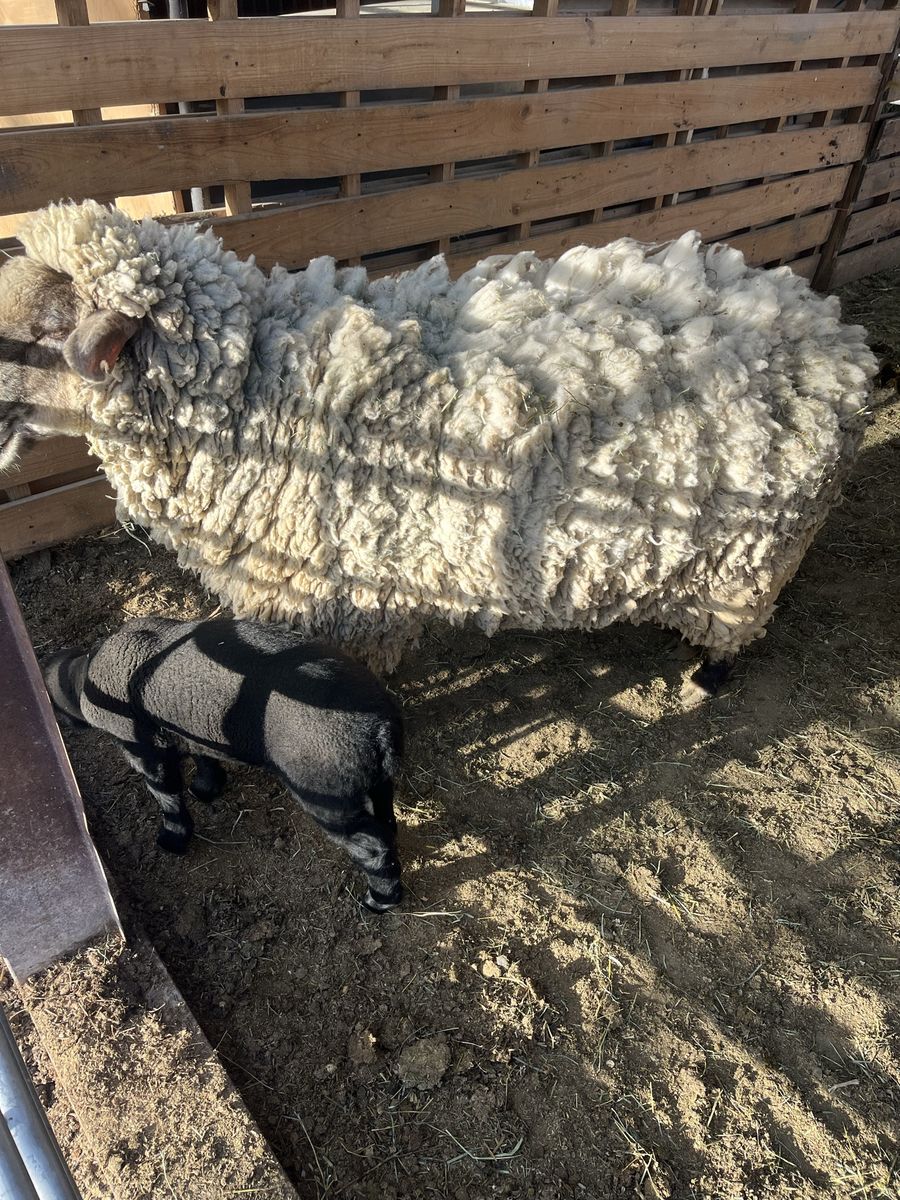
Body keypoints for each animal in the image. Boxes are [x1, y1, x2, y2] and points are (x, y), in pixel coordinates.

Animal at [0, 200, 877, 685]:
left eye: (44, 334)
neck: (255, 381)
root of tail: (840, 340)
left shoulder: (347, 603)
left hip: (749, 566)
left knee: (736, 631)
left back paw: (706, 677)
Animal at [43, 615, 405, 912]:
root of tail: (379, 728)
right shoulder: (186, 729)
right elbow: (203, 758)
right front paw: (206, 787)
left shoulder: (144, 749)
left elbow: (166, 795)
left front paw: (173, 838)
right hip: (375, 781)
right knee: (386, 824)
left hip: (327, 794)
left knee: (371, 846)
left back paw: (380, 900)